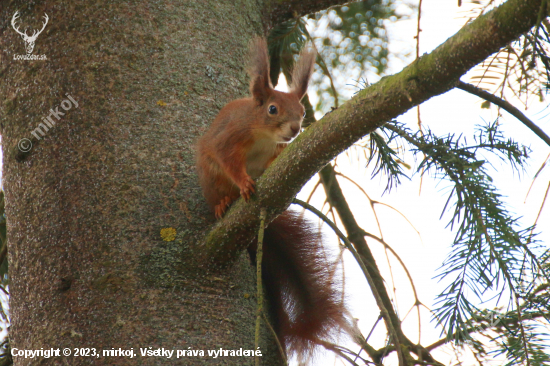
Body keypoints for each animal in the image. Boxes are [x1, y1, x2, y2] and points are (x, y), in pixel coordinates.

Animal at [197, 38, 350, 356]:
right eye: (272, 109)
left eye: (302, 111)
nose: (295, 129)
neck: (265, 137)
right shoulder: (230, 139)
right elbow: (230, 162)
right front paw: (244, 183)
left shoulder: (278, 150)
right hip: (210, 178)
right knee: (218, 190)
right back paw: (223, 203)